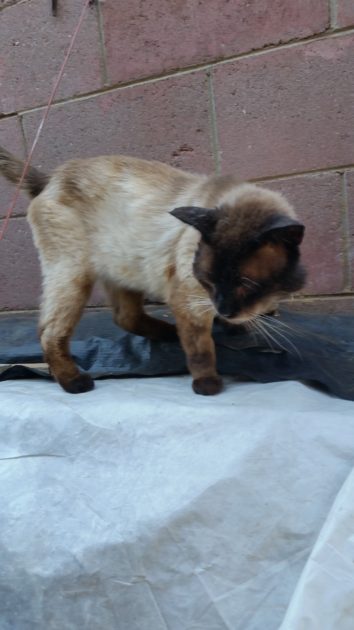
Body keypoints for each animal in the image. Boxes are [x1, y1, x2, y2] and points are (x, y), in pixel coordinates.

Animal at [0, 148, 304, 396]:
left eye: (245, 284)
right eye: (209, 281)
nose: (224, 309)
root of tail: (51, 177)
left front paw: (236, 325)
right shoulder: (190, 301)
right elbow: (201, 349)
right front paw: (207, 384)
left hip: (123, 270)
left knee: (125, 318)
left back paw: (169, 333)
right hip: (74, 274)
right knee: (49, 331)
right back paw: (74, 382)